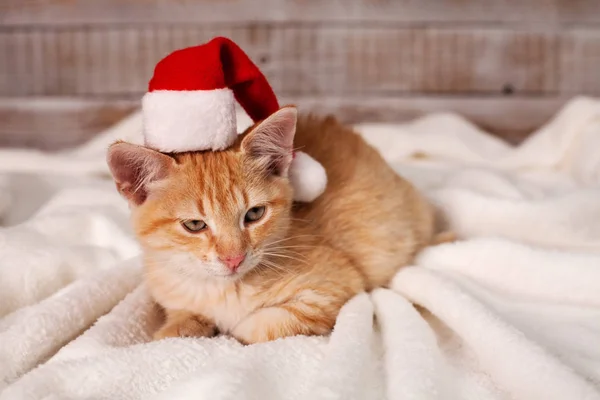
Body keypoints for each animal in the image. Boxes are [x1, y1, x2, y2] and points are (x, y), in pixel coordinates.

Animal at [106, 107, 436, 344]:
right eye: (195, 225)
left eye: (254, 214)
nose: (234, 258)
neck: (221, 290)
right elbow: (175, 324)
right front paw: (178, 329)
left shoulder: (333, 287)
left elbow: (260, 326)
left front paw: (230, 331)